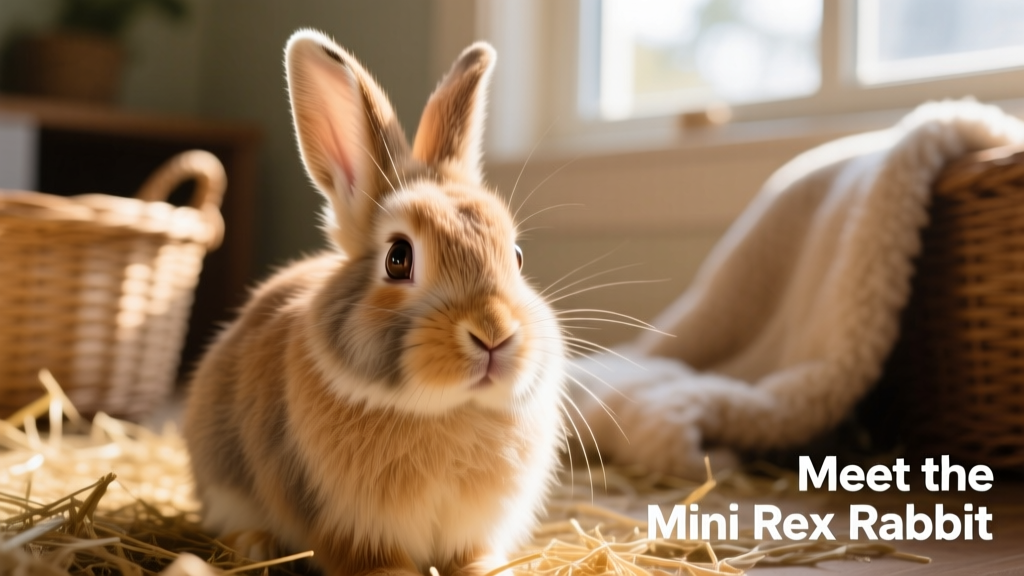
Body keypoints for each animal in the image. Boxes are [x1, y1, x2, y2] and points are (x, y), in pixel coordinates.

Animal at [182, 29, 567, 576]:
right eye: (398, 258)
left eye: (516, 257)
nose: (493, 333)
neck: (446, 411)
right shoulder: (350, 527)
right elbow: (378, 564)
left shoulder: (472, 531)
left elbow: (474, 559)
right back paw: (256, 546)